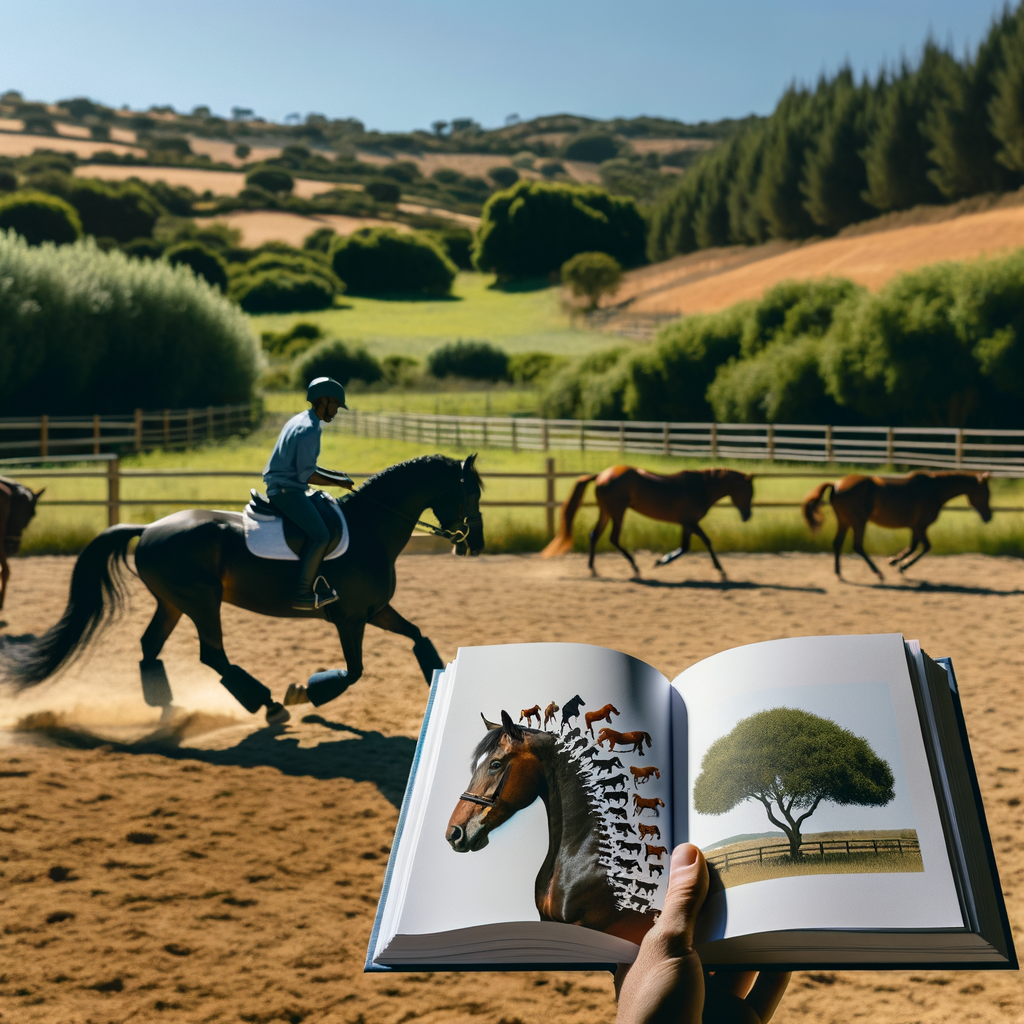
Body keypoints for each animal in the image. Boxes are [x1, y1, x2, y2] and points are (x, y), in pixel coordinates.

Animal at [544, 464, 753, 577]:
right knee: (612, 538)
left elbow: (685, 547)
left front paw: (662, 560)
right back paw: (634, 566)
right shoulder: (691, 522)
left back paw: (593, 569)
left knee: (595, 535)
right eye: (748, 491)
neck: (701, 488)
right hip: (618, 512)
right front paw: (721, 570)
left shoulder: (686, 524)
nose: (748, 516)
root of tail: (602, 475)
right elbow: (706, 542)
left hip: (606, 512)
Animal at [798, 468, 991, 581]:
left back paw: (839, 572)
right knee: (857, 546)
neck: (934, 490)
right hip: (858, 521)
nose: (989, 517)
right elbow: (924, 547)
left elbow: (914, 547)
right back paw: (877, 572)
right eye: (985, 493)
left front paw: (896, 562)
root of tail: (837, 484)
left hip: (845, 521)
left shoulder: (915, 528)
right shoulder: (920, 526)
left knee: (838, 543)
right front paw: (900, 565)